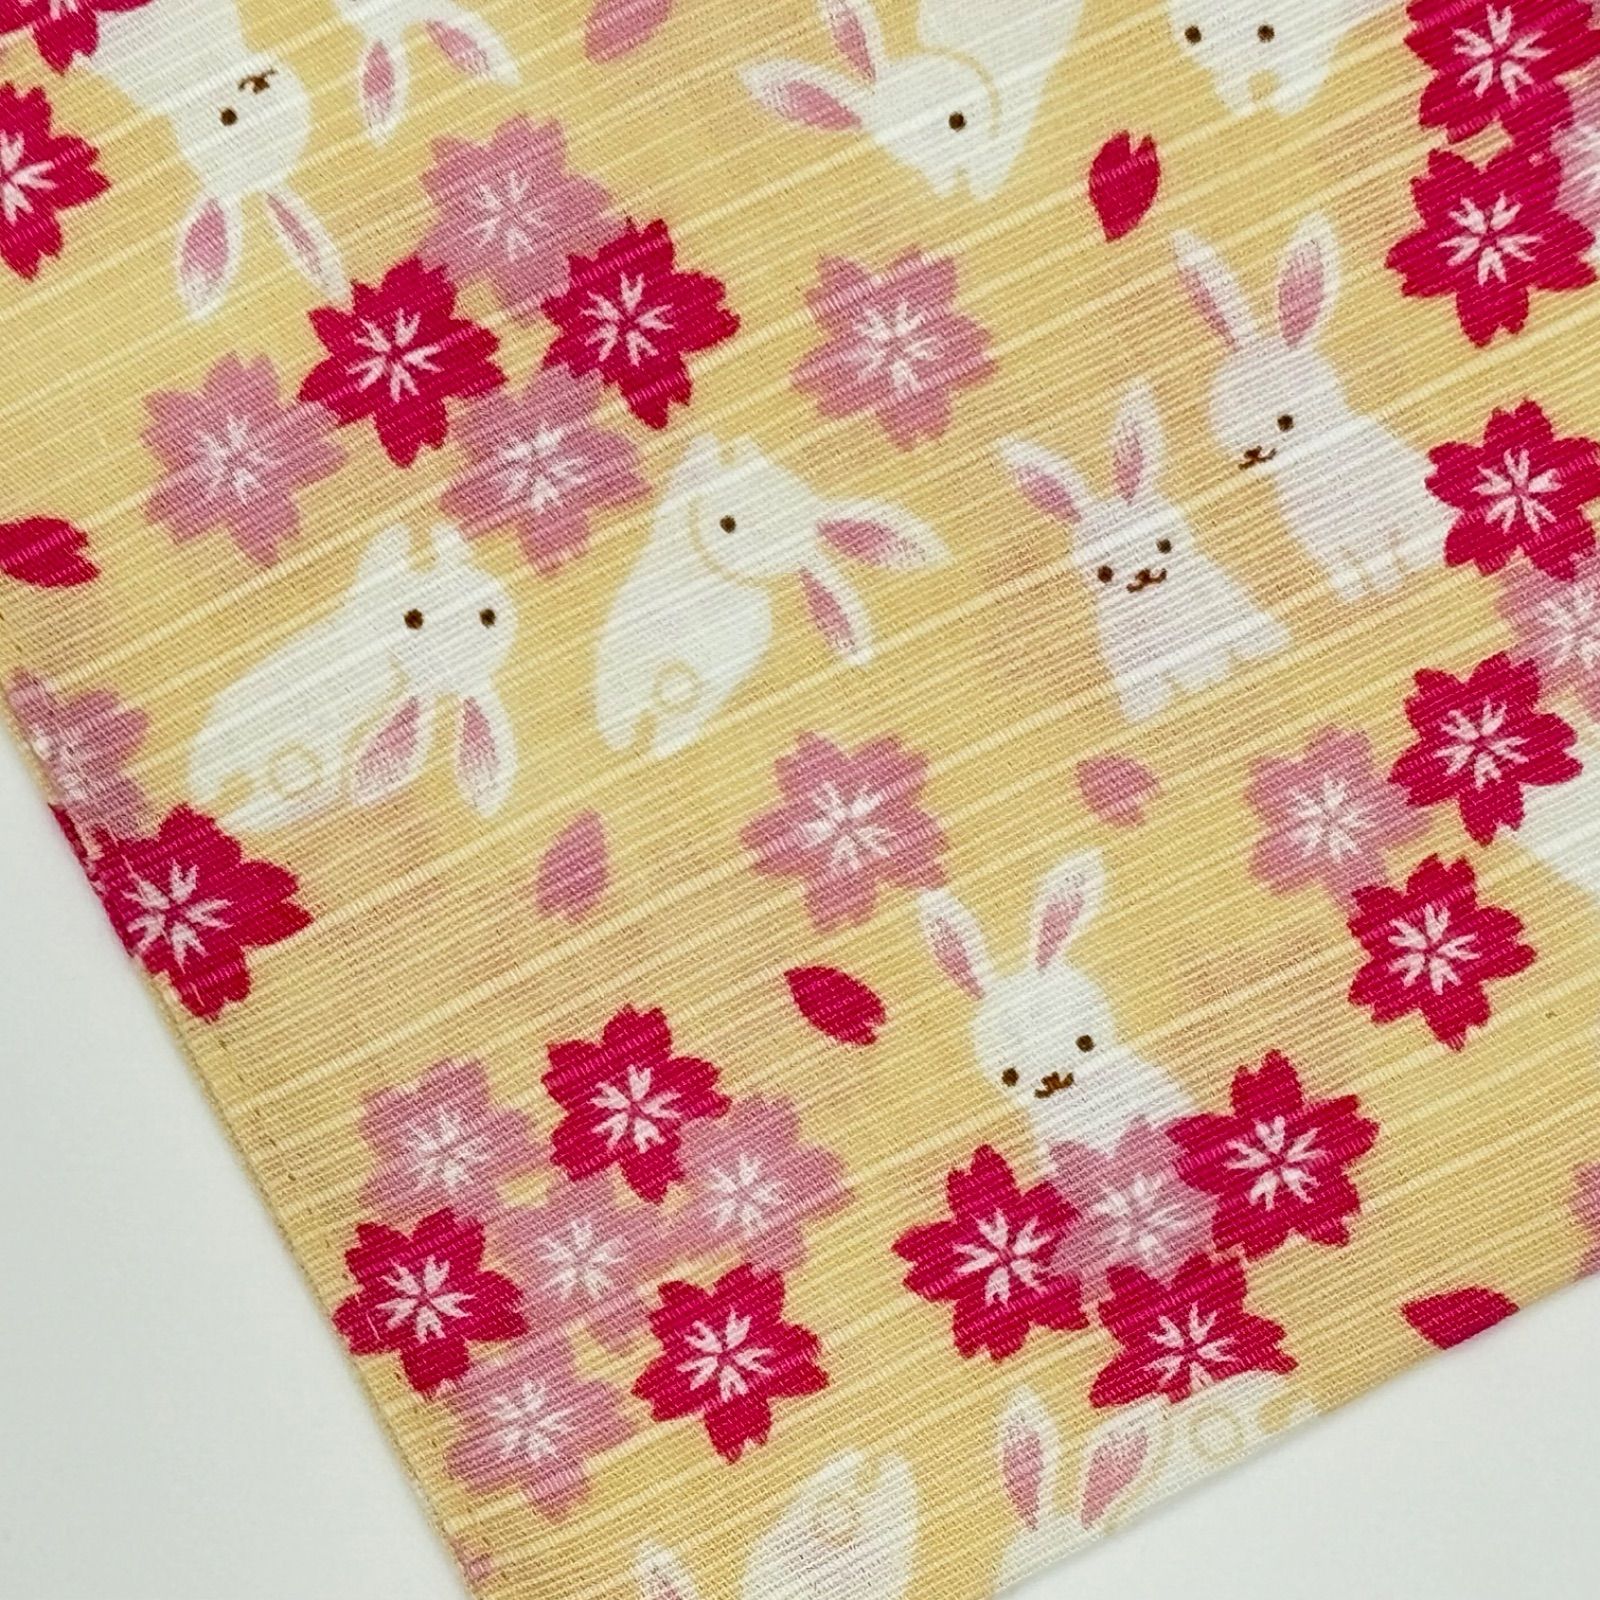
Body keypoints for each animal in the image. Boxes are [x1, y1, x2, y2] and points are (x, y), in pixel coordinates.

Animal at [1173, 213, 1449, 603]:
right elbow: (1346, 574)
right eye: (1223, 420)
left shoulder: (1375, 530)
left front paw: (1386, 586)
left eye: (1286, 421)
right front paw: (1356, 595)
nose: (1253, 452)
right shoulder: (1331, 551)